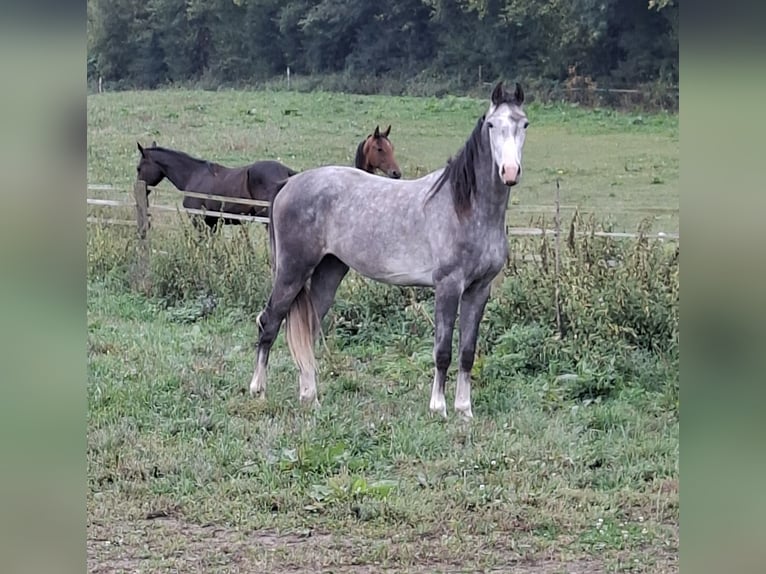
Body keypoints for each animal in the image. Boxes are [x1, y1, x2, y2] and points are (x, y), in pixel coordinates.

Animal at [135, 142, 298, 231]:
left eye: (139, 168)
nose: (139, 188)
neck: (193, 175)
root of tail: (286, 171)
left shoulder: (199, 221)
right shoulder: (213, 223)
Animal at [248, 81, 528, 420]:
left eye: (524, 124)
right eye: (491, 125)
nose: (510, 172)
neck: (465, 207)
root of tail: (288, 184)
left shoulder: (479, 289)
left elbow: (467, 352)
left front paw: (464, 410)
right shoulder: (448, 286)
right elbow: (443, 350)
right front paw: (438, 407)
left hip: (329, 271)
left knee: (308, 331)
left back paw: (310, 397)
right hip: (292, 271)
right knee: (269, 322)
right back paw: (258, 391)